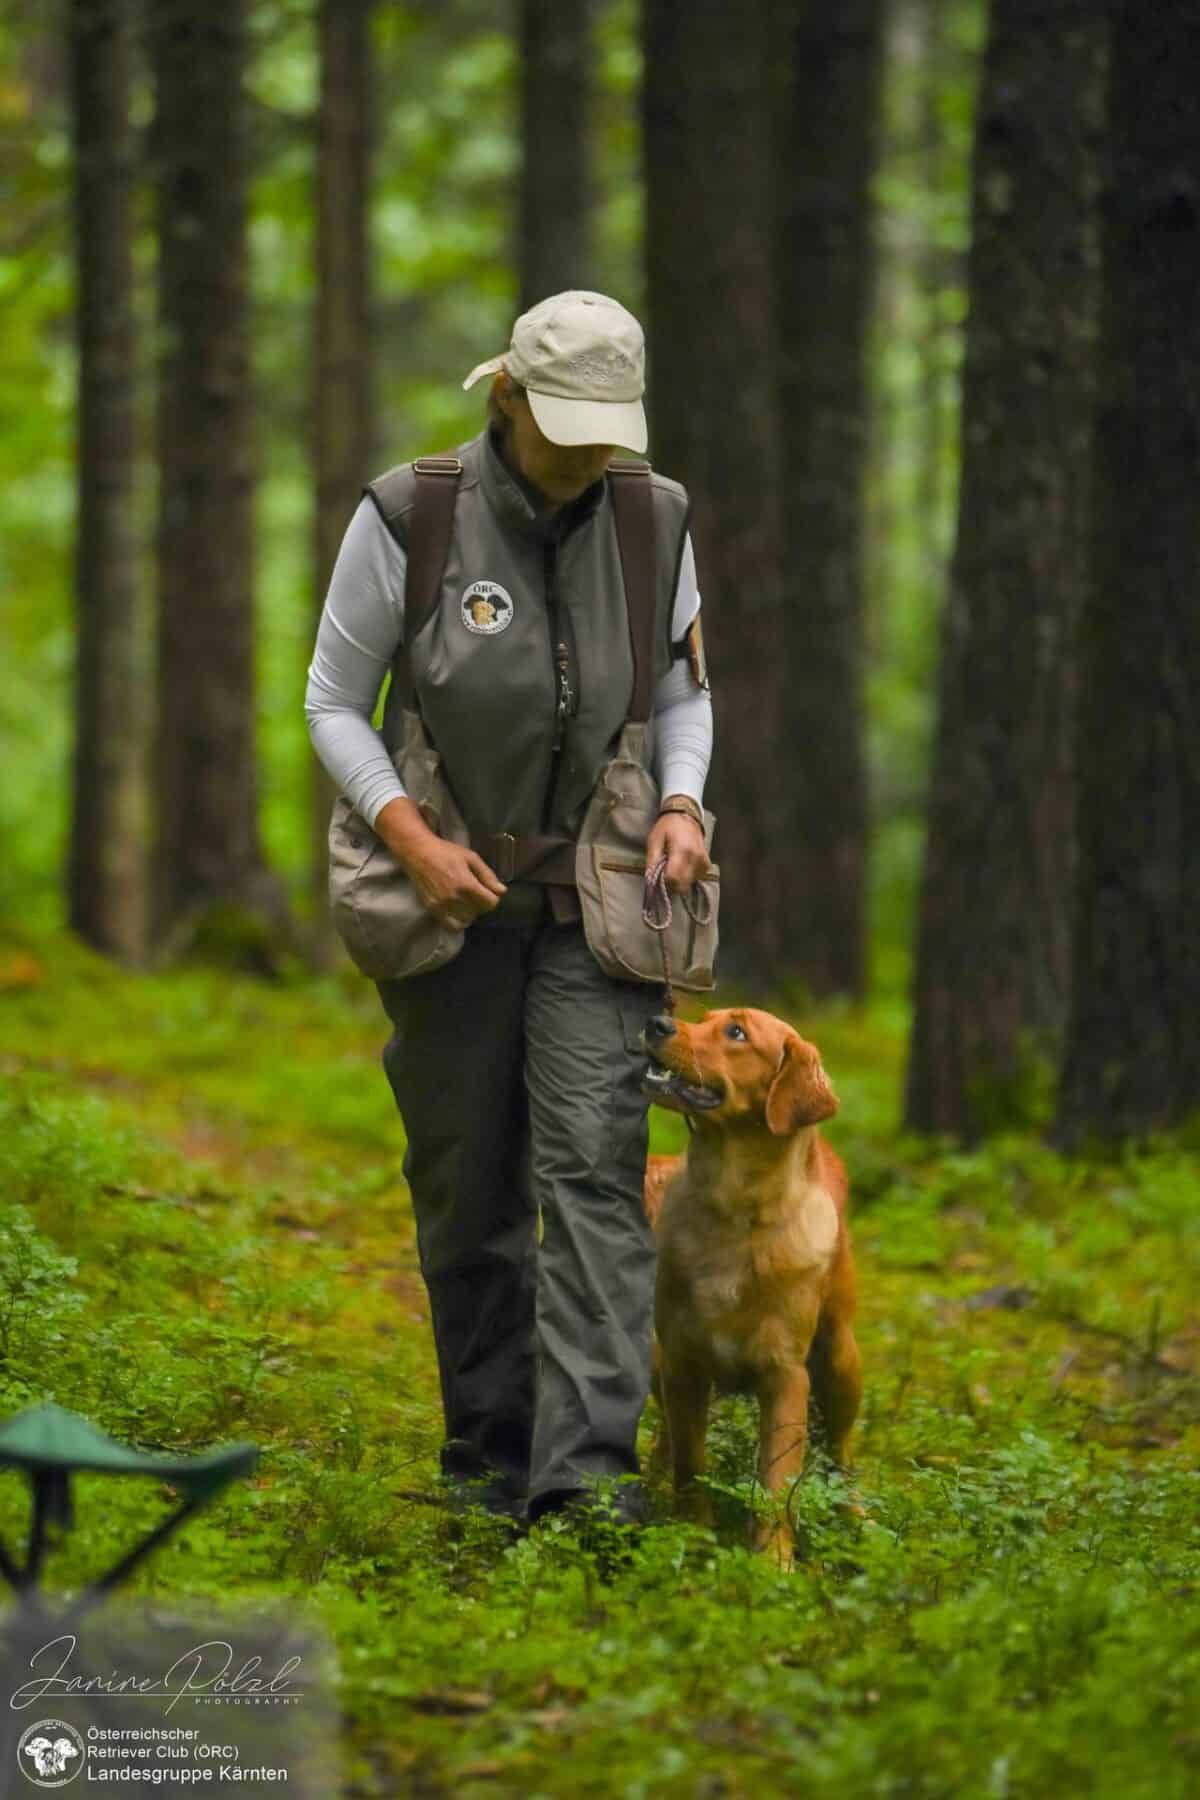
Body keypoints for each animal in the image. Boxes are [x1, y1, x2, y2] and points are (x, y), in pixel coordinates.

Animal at [644, 1008, 859, 1569]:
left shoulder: (786, 1377)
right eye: (705, 1018)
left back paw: (857, 1517)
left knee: (842, 1453)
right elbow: (690, 1462)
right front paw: (691, 1534)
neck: (736, 1214)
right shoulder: (682, 1363)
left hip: (841, 1360)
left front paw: (773, 1563)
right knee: (663, 1441)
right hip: (655, 1366)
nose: (656, 1022)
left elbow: (775, 1483)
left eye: (736, 1032)